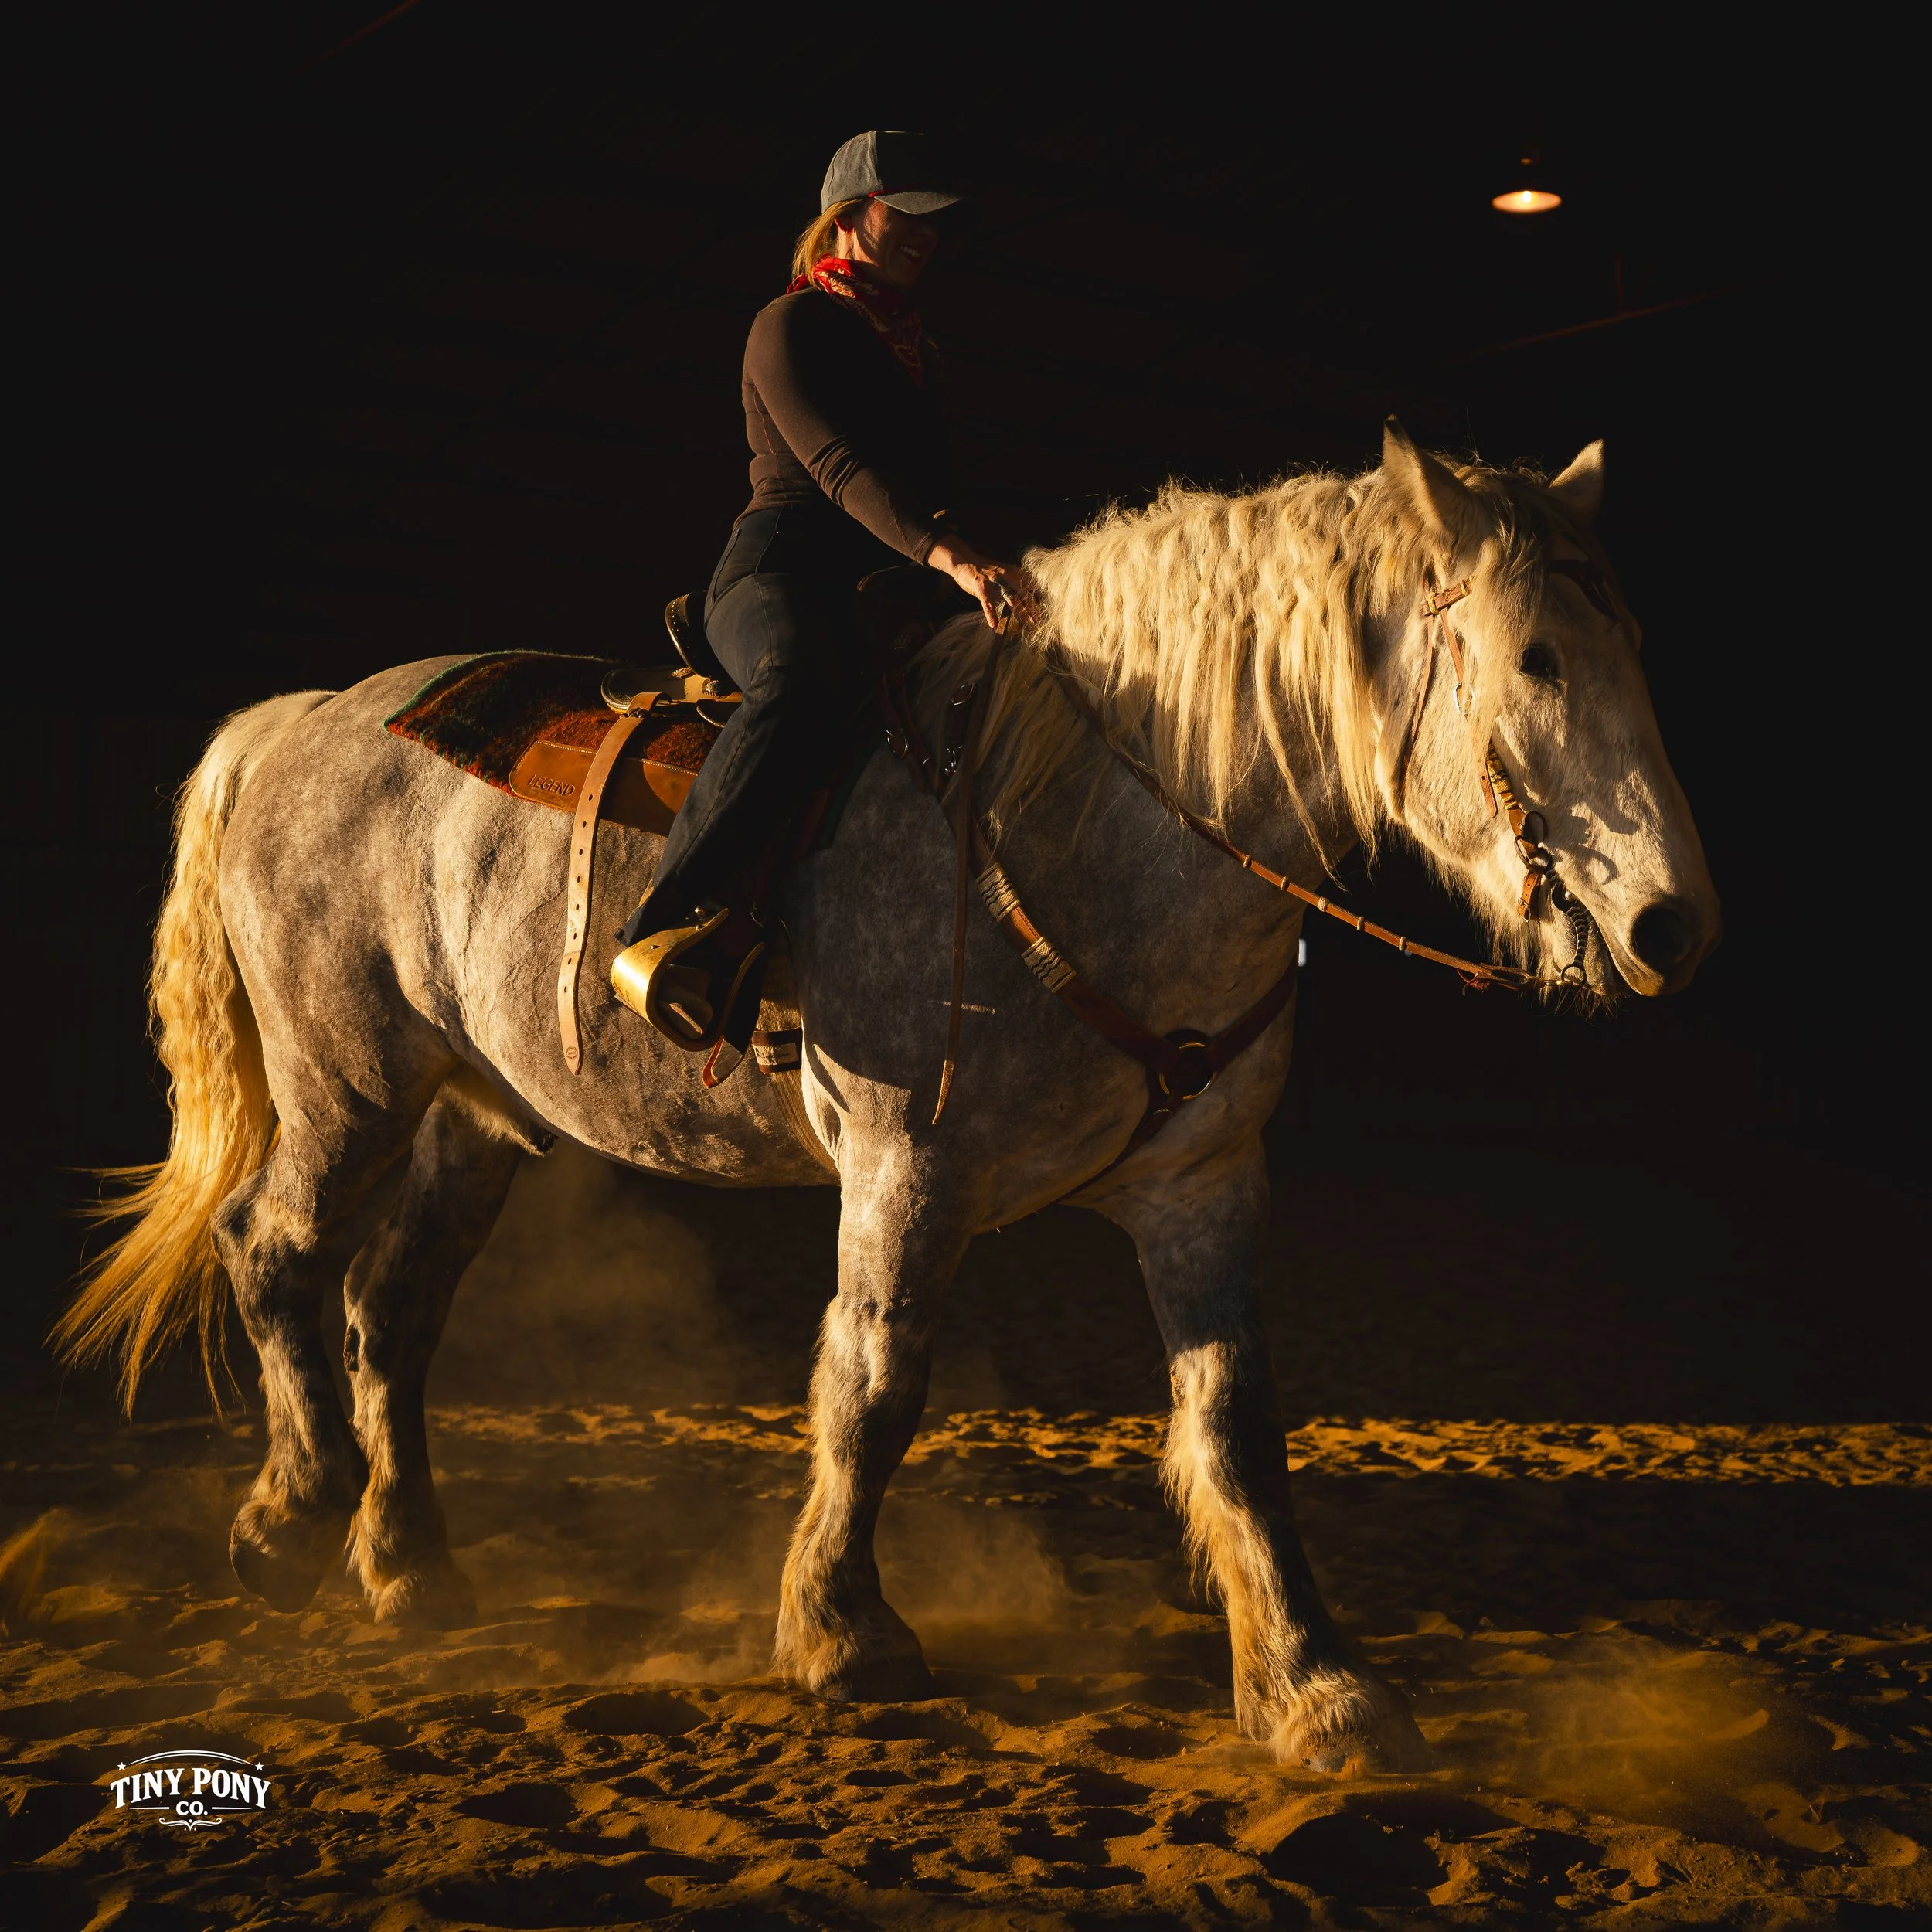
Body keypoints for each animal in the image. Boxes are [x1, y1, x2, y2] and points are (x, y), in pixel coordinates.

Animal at [56, 421, 1718, 1774]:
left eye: (1631, 643)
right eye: (1533, 657)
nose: (1668, 925)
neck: (1085, 824)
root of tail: (304, 715)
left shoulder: (1205, 1183)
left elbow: (1235, 1421)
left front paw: (1314, 1687)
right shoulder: (907, 1172)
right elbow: (873, 1382)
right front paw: (842, 1631)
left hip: (475, 1114)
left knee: (388, 1310)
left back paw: (407, 1562)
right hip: (348, 1083)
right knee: (275, 1248)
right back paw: (291, 1511)